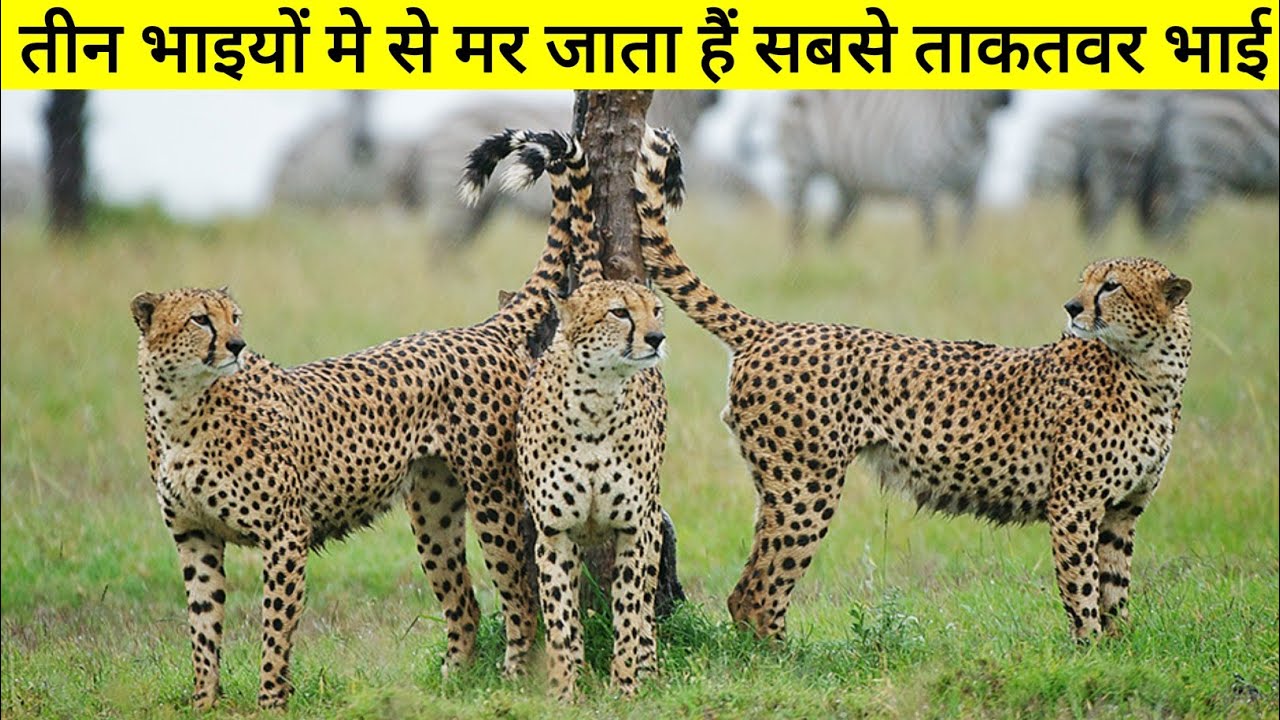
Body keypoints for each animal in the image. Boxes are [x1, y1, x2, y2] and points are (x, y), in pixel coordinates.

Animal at [130, 129, 597, 709]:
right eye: (199, 319)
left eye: (234, 317)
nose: (236, 344)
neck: (182, 410)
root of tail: (480, 329)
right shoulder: (194, 537)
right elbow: (202, 629)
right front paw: (204, 703)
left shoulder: (285, 534)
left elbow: (273, 629)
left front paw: (270, 702)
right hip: (432, 510)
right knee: (464, 602)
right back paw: (449, 683)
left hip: (495, 498)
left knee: (520, 597)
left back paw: (510, 681)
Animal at [493, 130, 671, 699]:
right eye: (619, 313)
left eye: (655, 309)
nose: (657, 338)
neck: (596, 405)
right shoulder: (554, 533)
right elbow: (562, 620)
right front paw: (563, 691)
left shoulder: (634, 528)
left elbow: (630, 612)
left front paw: (627, 689)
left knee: (647, 608)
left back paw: (650, 668)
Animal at [631, 126, 1193, 643]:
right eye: (1087, 282)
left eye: (1111, 285)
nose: (1073, 307)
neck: (1153, 373)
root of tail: (775, 328)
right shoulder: (1074, 506)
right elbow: (1083, 591)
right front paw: (1089, 652)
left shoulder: (1122, 512)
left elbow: (1116, 589)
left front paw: (1120, 649)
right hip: (805, 485)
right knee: (755, 590)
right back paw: (781, 662)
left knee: (751, 585)